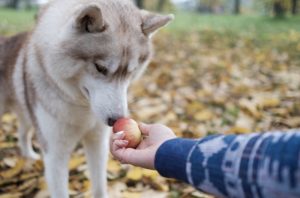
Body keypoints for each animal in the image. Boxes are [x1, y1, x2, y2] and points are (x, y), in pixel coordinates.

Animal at [0, 0, 173, 196]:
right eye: (100, 68)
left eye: (131, 72)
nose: (116, 120)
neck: (82, 106)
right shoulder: (55, 153)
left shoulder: (97, 142)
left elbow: (99, 186)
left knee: (23, 132)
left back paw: (28, 155)